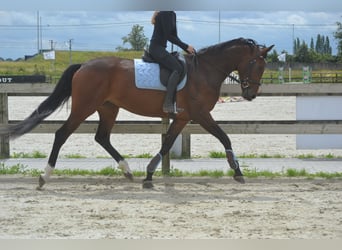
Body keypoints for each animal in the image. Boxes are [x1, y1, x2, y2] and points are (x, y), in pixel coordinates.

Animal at [0, 38, 272, 188]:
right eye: (256, 64)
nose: (251, 94)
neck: (204, 70)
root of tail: (84, 65)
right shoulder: (200, 114)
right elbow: (225, 137)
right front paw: (237, 170)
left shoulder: (183, 117)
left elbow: (166, 145)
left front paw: (149, 175)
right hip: (83, 107)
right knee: (61, 134)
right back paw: (45, 176)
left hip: (108, 108)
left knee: (102, 137)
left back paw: (128, 171)